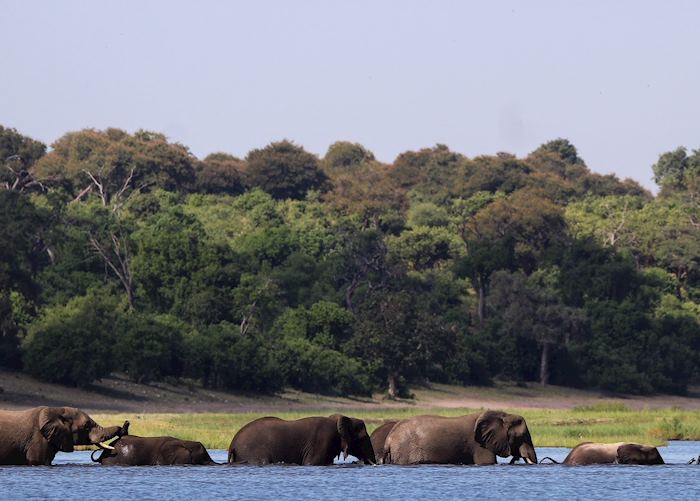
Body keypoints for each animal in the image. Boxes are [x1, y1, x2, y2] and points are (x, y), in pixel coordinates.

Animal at [383, 410, 537, 465]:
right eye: (521, 437)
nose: (516, 457)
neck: (503, 415)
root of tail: (389, 438)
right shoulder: (480, 445)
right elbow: (487, 462)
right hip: (405, 451)